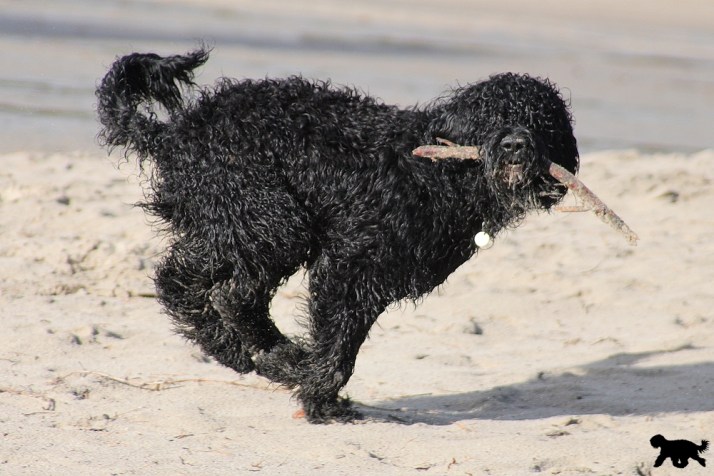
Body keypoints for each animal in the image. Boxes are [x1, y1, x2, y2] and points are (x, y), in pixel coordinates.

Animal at [97, 48, 579, 422]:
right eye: (491, 117)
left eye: (540, 120)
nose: (515, 145)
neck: (433, 175)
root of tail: (174, 132)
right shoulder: (349, 262)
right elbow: (335, 352)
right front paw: (313, 390)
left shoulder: (375, 281)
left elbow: (343, 343)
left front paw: (320, 399)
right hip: (270, 220)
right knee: (215, 290)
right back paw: (272, 356)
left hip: (236, 227)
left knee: (198, 285)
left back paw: (242, 350)